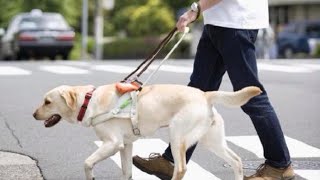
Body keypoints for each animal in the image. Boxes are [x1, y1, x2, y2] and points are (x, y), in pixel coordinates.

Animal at [33, 83, 262, 179]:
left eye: (47, 102)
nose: (34, 115)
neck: (88, 101)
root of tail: (206, 95)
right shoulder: (126, 145)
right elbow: (126, 172)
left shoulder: (112, 143)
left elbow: (87, 163)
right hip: (210, 140)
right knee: (236, 160)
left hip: (177, 134)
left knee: (181, 169)